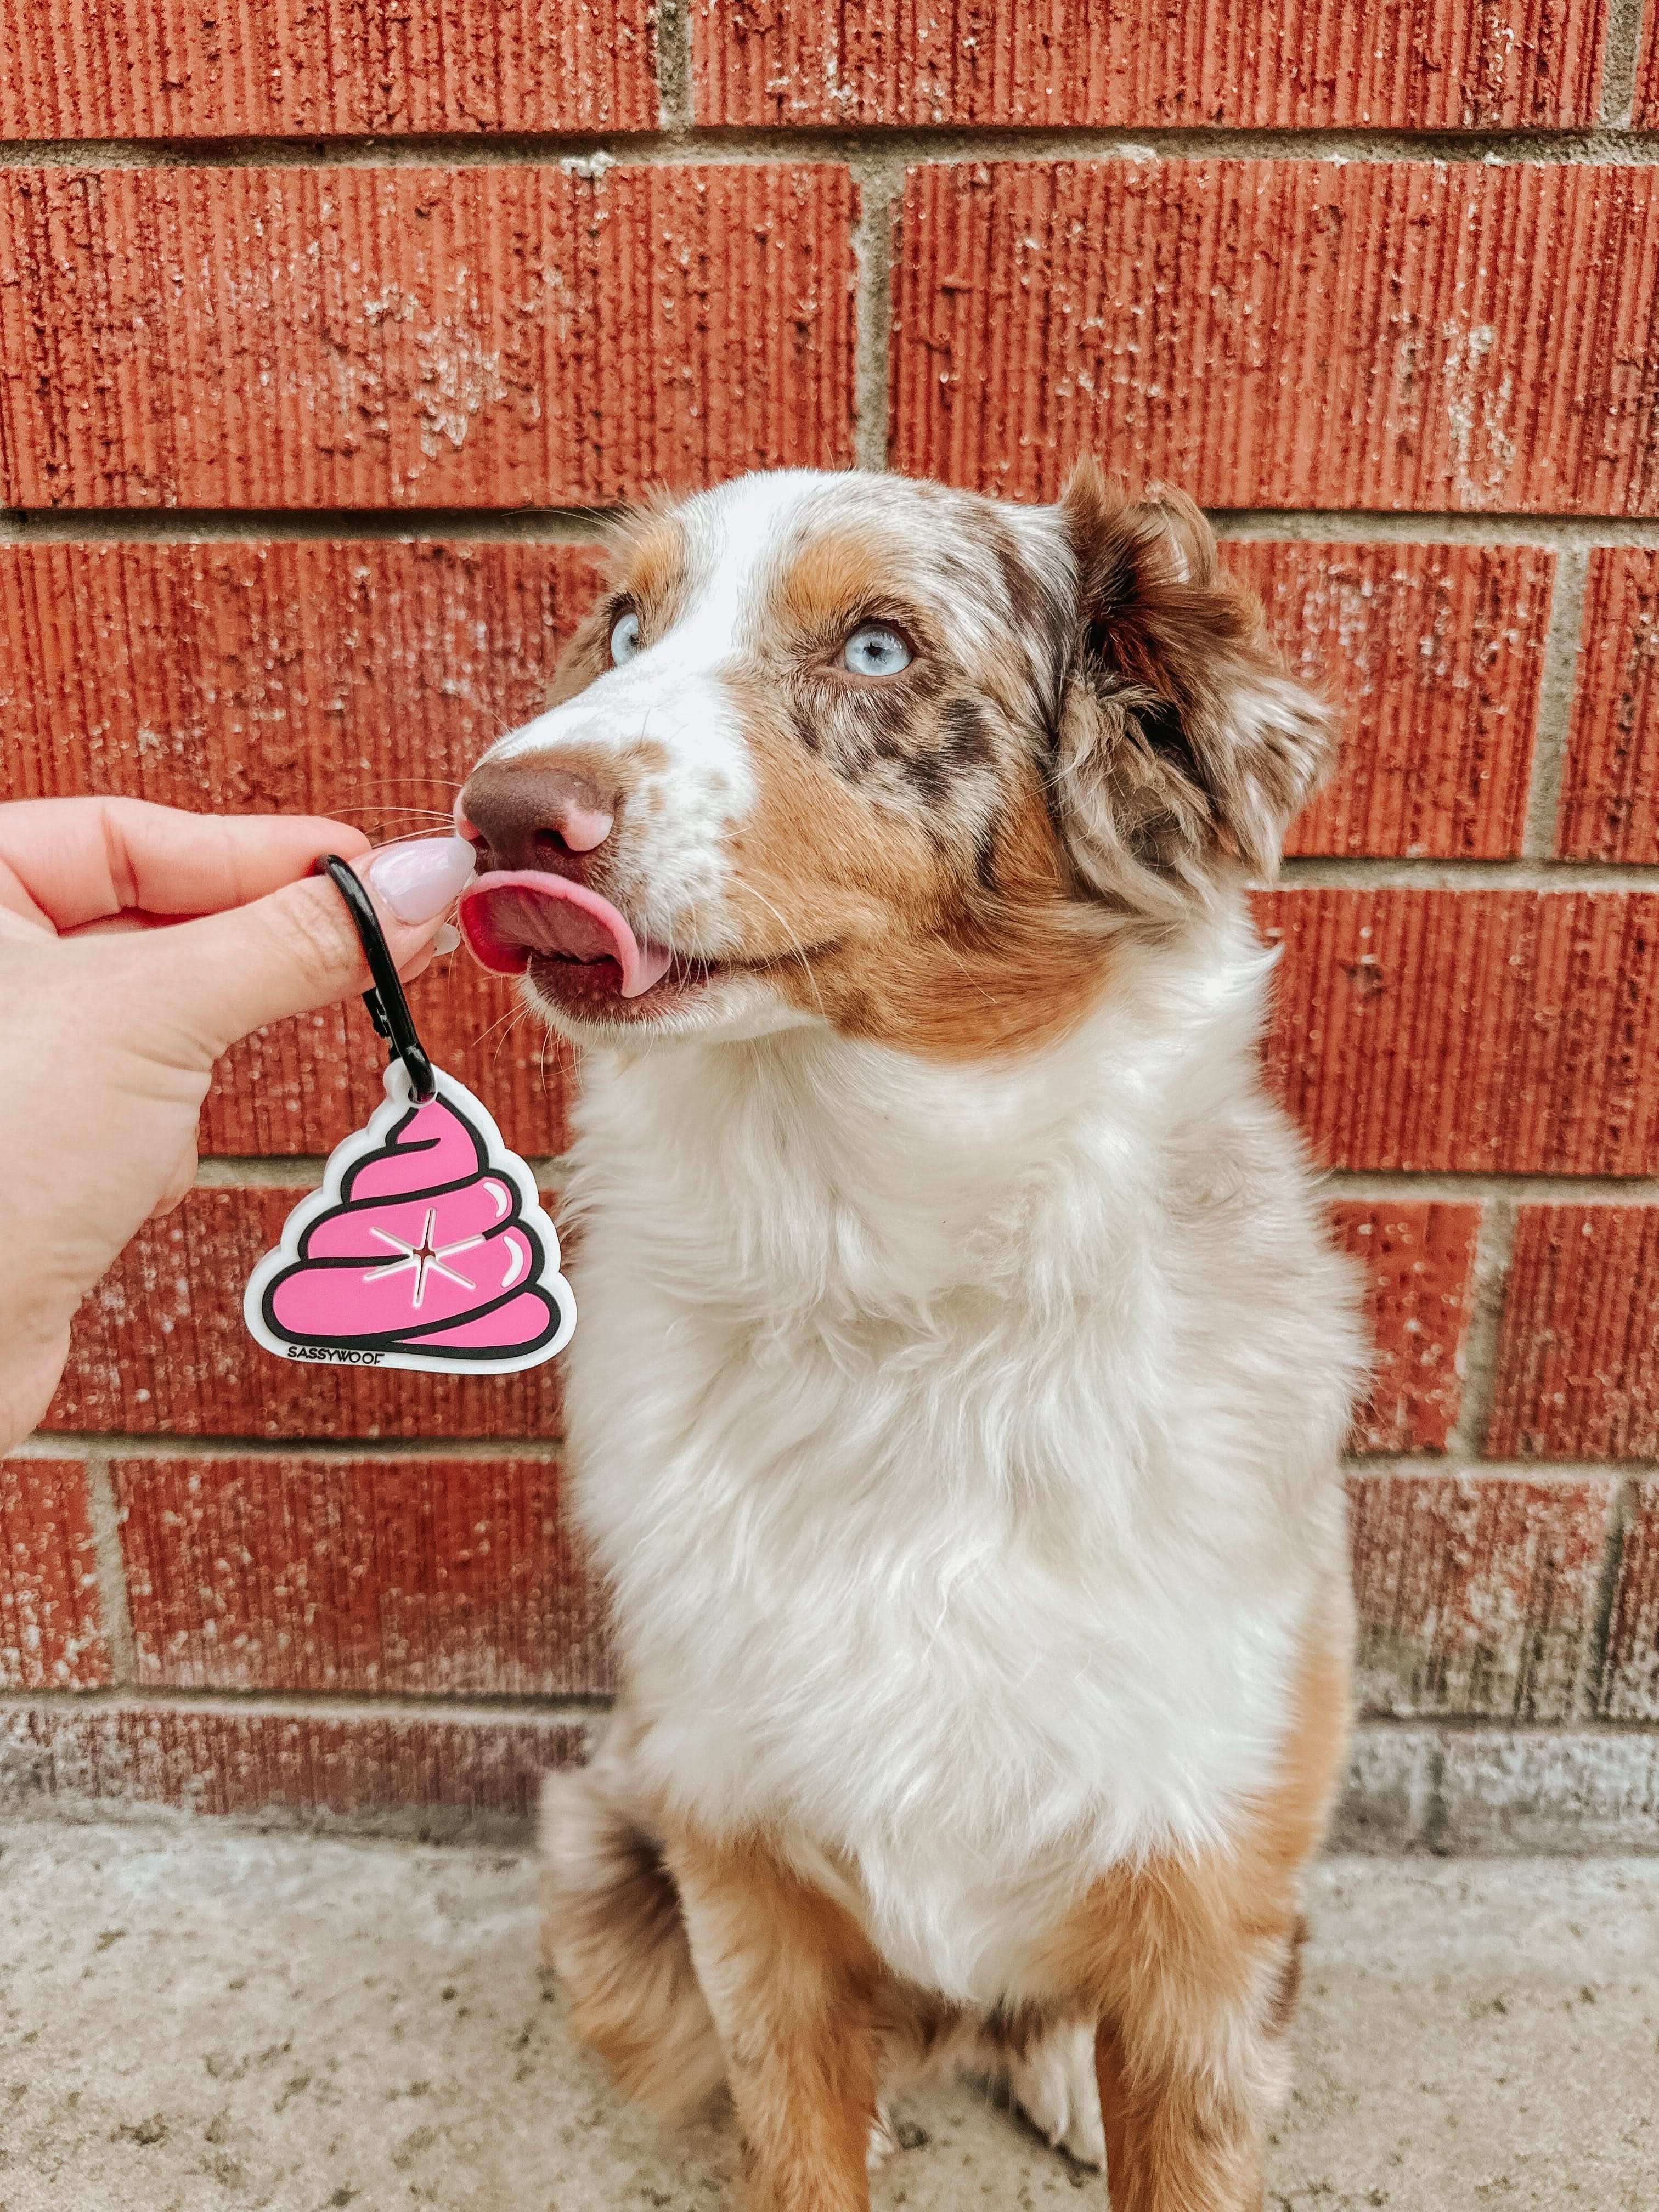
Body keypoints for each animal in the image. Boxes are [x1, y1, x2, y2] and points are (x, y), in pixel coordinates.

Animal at [454, 461, 1366, 2211]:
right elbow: (796, 2127)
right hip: (604, 1849)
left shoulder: (1216, 1891)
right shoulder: (735, 1854)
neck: (887, 1291)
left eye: (879, 646)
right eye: (625, 627)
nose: (506, 814)